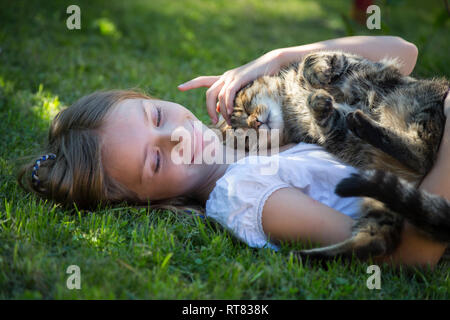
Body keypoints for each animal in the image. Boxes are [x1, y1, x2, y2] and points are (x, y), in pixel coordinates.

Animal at [222, 50, 450, 260]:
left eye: (244, 108)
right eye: (242, 133)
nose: (254, 123)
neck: (288, 105)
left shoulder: (348, 61)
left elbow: (311, 59)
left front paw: (318, 76)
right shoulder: (330, 132)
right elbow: (328, 120)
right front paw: (318, 102)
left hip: (419, 103)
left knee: (424, 155)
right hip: (382, 196)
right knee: (379, 239)